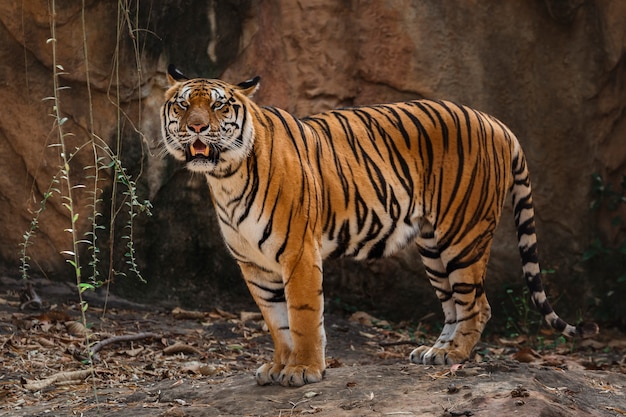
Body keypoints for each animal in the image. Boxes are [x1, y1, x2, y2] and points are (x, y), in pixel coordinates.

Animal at [158, 64, 596, 386]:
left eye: (219, 107)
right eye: (182, 105)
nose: (196, 127)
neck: (225, 176)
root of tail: (496, 122)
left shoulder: (298, 253)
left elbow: (301, 315)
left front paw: (303, 370)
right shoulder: (254, 264)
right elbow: (275, 321)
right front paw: (279, 366)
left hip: (463, 235)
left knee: (477, 304)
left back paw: (454, 354)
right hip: (433, 246)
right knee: (454, 305)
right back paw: (434, 352)